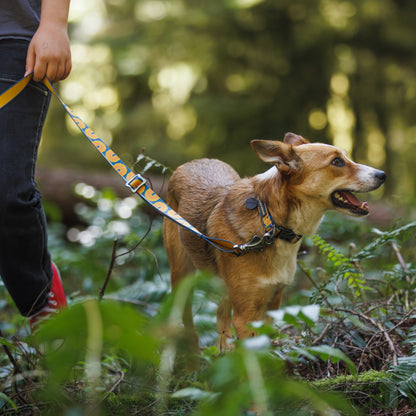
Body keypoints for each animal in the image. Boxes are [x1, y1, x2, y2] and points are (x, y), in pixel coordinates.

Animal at [162, 132, 386, 352]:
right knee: (187, 321)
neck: (270, 222)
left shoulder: (273, 304)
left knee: (220, 313)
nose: (382, 175)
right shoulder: (245, 317)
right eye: (337, 161)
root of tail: (193, 162)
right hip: (181, 275)